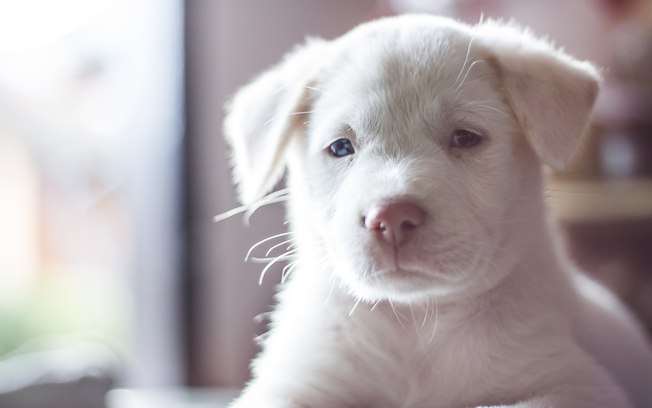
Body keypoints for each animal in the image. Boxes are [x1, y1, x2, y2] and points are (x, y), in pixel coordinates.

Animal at [223, 13, 652, 408]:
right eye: (341, 147)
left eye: (465, 137)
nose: (392, 217)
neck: (413, 323)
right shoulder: (295, 382)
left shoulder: (572, 384)